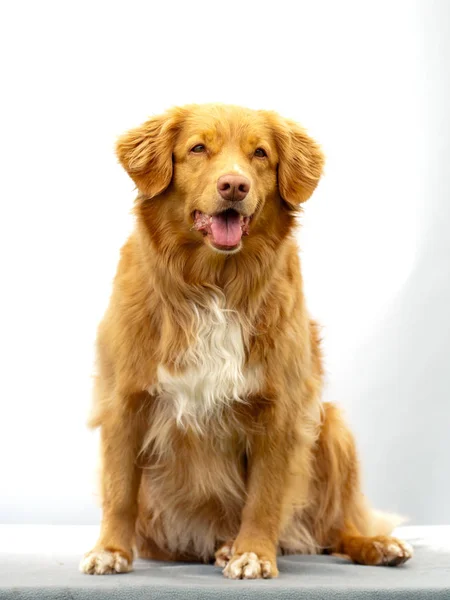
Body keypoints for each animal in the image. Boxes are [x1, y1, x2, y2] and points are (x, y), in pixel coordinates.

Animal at [80, 103, 412, 576]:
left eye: (260, 153)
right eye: (198, 148)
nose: (234, 185)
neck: (214, 285)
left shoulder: (281, 409)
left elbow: (264, 496)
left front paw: (253, 553)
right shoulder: (124, 400)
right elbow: (120, 488)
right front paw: (110, 550)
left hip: (332, 426)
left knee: (337, 528)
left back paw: (373, 544)